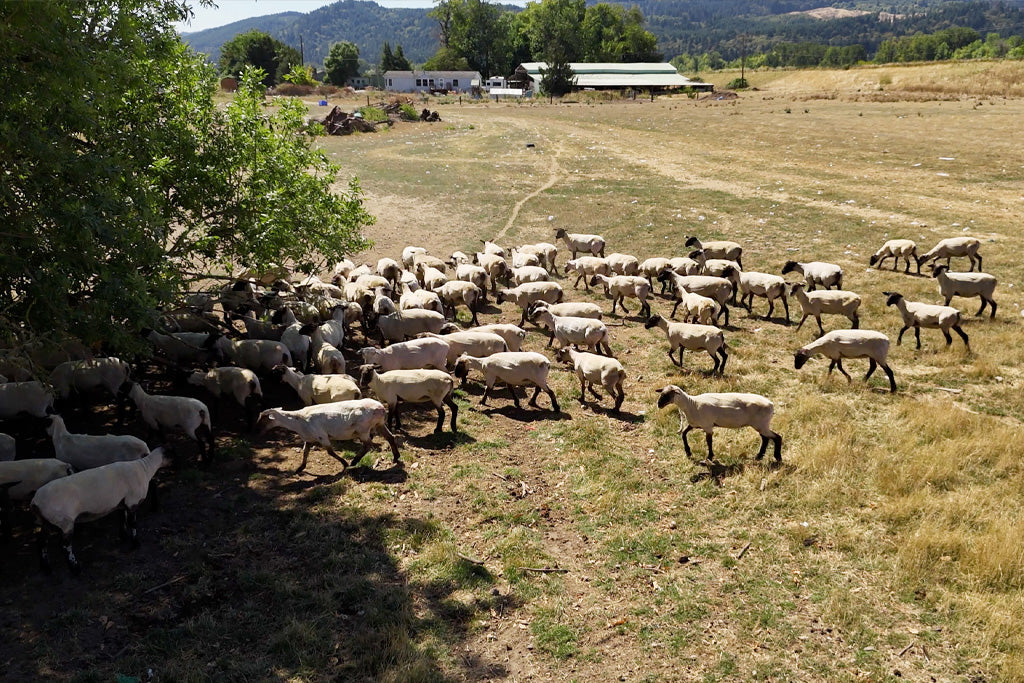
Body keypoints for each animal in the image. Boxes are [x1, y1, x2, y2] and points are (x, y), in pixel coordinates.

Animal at [31, 447, 168, 573]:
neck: (144, 468)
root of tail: (35, 502)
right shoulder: (132, 502)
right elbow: (133, 524)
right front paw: (136, 544)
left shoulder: (122, 503)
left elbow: (122, 519)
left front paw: (123, 537)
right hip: (65, 522)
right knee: (65, 546)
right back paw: (75, 568)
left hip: (46, 521)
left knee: (42, 541)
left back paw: (45, 567)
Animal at [257, 399, 400, 473]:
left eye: (263, 420)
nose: (256, 431)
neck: (298, 420)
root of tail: (381, 408)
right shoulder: (309, 438)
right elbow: (305, 452)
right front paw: (300, 468)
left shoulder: (322, 436)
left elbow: (330, 452)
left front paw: (344, 463)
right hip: (379, 424)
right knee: (390, 437)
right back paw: (396, 457)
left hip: (363, 429)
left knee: (368, 445)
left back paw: (354, 461)